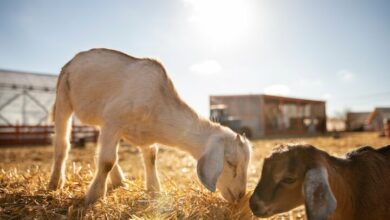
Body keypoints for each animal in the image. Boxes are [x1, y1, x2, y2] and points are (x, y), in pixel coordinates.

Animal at [48, 48, 253, 205]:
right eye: (230, 163)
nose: (240, 195)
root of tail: (74, 59)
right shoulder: (113, 121)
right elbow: (106, 161)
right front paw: (94, 196)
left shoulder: (139, 133)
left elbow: (150, 158)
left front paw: (155, 191)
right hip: (64, 95)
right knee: (62, 144)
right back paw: (54, 183)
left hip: (100, 119)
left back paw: (119, 181)